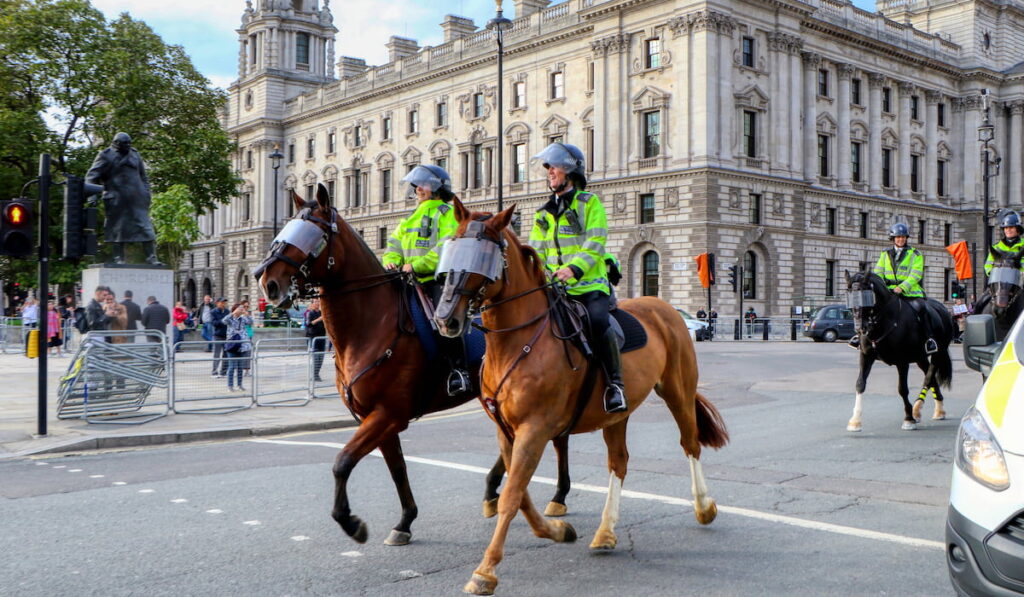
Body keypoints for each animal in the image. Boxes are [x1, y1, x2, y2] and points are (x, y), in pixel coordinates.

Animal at [254, 184, 573, 548]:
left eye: (314, 233)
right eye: (286, 228)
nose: (266, 280)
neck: (372, 324)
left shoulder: (388, 414)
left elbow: (342, 461)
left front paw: (350, 522)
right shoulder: (375, 417)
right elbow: (397, 468)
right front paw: (405, 521)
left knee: (555, 436)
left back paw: (557, 495)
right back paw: (495, 490)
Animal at [432, 201, 729, 597]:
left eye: (483, 255)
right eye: (451, 248)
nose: (445, 318)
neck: (518, 342)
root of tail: (663, 307)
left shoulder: (535, 429)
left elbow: (512, 495)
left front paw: (486, 570)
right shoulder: (506, 431)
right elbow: (519, 492)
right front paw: (557, 530)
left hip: (677, 391)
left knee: (690, 443)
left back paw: (704, 506)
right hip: (616, 416)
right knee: (619, 462)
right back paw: (606, 531)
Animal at [843, 272, 954, 432]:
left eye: (866, 295)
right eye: (849, 295)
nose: (859, 328)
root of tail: (942, 308)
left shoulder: (902, 361)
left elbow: (902, 389)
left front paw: (908, 419)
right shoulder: (866, 356)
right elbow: (860, 384)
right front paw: (855, 420)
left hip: (938, 353)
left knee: (929, 377)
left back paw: (918, 409)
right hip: (920, 357)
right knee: (931, 377)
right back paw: (935, 409)